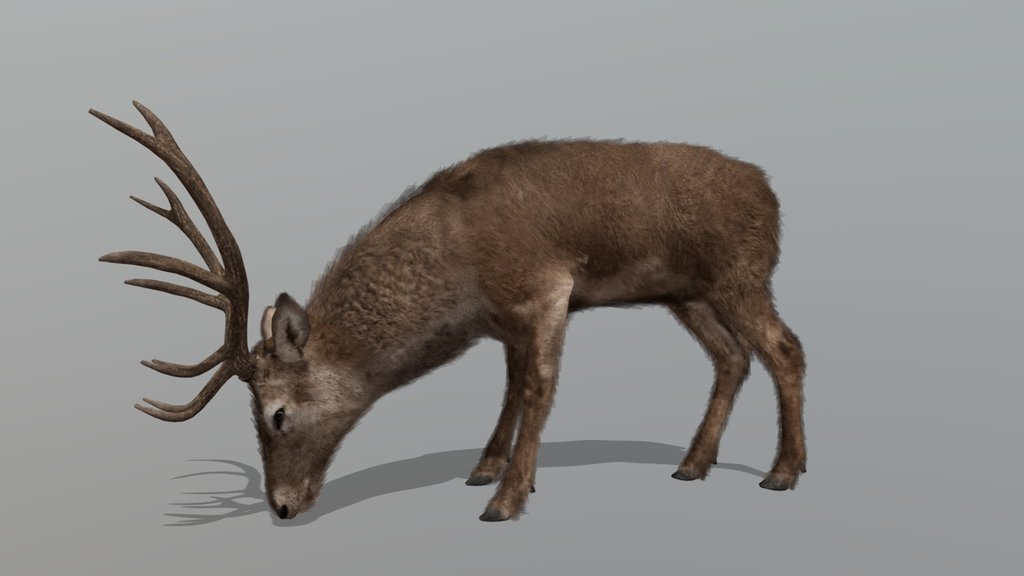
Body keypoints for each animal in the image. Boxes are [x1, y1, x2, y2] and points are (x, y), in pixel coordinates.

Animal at [91, 101, 807, 522]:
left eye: (277, 413)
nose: (283, 507)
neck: (459, 278)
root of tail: (772, 196)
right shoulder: (508, 321)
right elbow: (512, 387)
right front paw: (486, 470)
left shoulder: (544, 290)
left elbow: (540, 387)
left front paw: (505, 500)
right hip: (688, 293)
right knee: (732, 357)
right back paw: (693, 464)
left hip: (742, 275)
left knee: (785, 347)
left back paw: (782, 472)